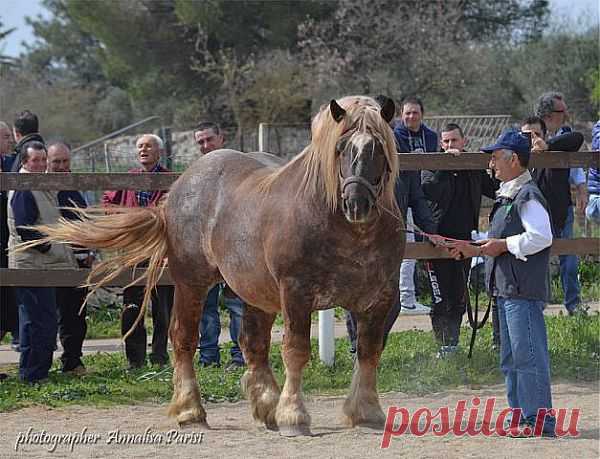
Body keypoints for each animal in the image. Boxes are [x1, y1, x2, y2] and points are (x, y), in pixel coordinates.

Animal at [29, 95, 404, 436]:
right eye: (340, 147)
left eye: (379, 147)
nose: (357, 203)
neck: (347, 230)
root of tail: (182, 185)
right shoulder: (296, 294)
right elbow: (296, 351)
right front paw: (294, 416)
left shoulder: (379, 298)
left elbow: (369, 351)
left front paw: (366, 412)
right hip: (191, 283)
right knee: (183, 338)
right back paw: (190, 410)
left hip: (254, 291)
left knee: (252, 343)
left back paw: (265, 406)